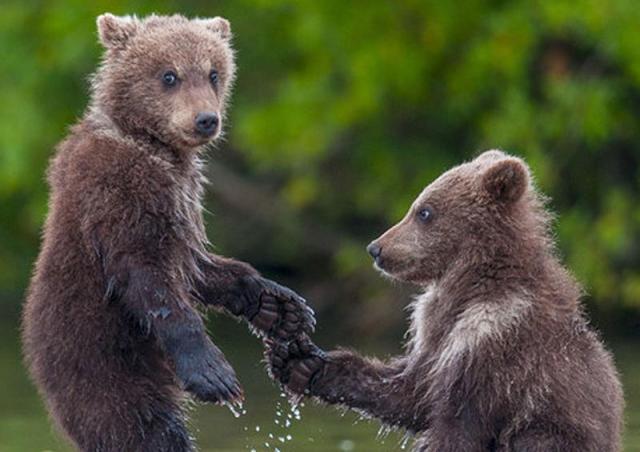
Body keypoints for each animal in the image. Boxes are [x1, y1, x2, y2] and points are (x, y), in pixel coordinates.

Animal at [21, 13, 314, 452]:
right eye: (169, 75)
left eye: (213, 73)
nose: (206, 119)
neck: (154, 146)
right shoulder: (118, 196)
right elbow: (149, 281)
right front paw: (215, 374)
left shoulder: (185, 204)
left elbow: (197, 266)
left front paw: (280, 307)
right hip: (101, 363)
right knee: (138, 427)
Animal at [267, 150, 624, 452]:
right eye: (417, 206)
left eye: (424, 211)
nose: (376, 248)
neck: (469, 288)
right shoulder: (436, 337)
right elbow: (408, 393)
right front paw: (300, 361)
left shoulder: (496, 346)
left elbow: (459, 425)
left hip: (552, 431)